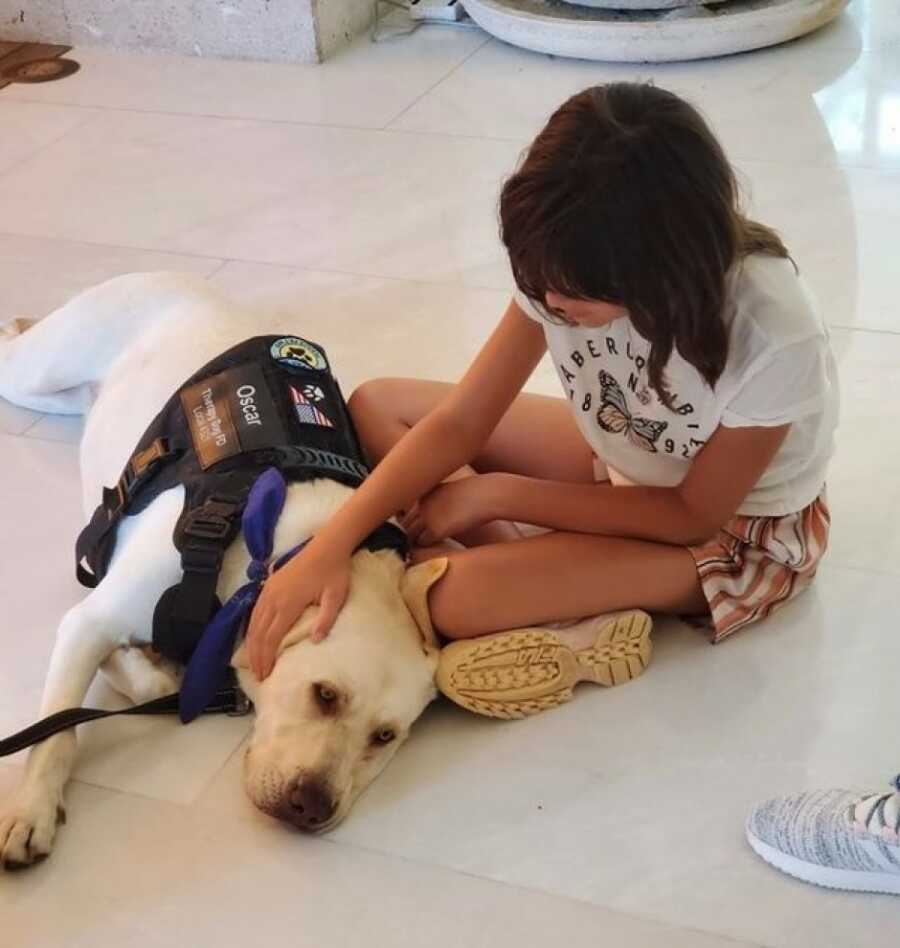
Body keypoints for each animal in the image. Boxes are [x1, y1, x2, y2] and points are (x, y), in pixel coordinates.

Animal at [0, 272, 444, 868]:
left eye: (384, 737)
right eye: (325, 695)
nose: (311, 807)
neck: (276, 553)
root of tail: (168, 276)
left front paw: (143, 665)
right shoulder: (89, 620)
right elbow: (55, 731)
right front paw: (32, 808)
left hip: (64, 397)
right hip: (43, 364)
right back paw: (16, 322)